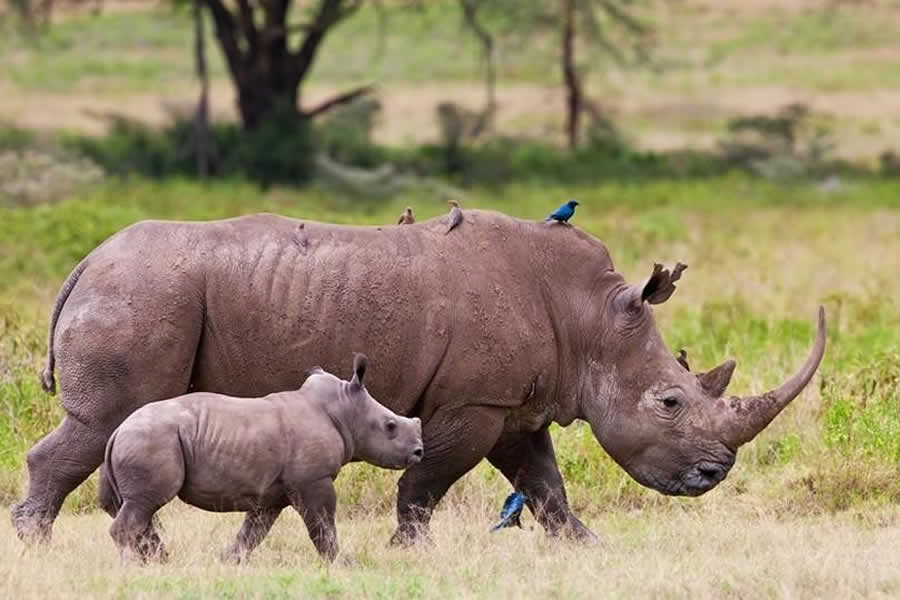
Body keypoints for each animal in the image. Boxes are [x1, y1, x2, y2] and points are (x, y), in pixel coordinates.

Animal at [98, 352, 422, 564]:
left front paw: (228, 561)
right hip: (151, 440)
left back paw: (158, 562)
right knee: (146, 502)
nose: (418, 451)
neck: (344, 410)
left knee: (141, 506)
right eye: (390, 426)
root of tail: (118, 430)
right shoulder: (314, 479)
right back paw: (133, 566)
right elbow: (322, 524)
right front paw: (343, 564)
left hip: (143, 439)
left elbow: (254, 531)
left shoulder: (272, 491)